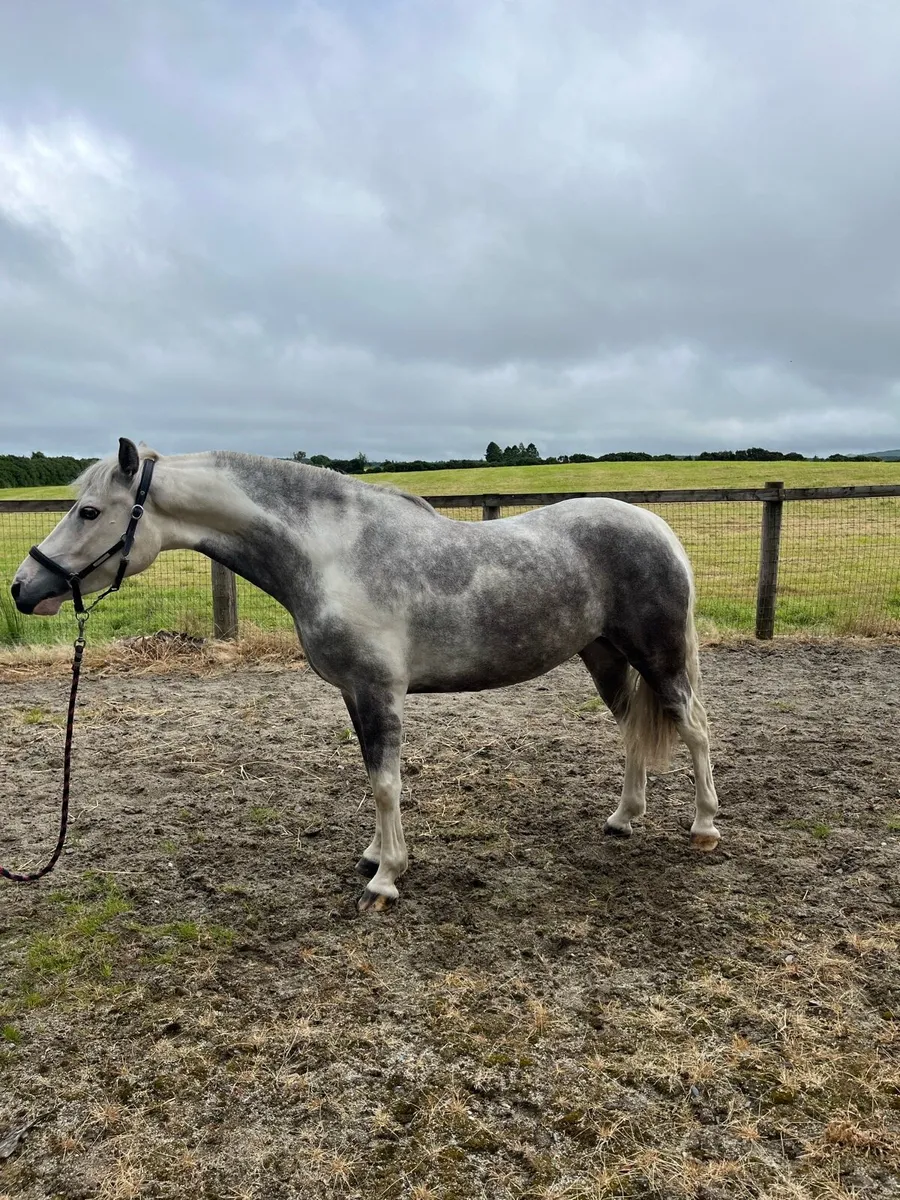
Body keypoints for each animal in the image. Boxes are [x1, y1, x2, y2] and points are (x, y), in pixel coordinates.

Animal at [12, 438, 720, 911]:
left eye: (89, 512)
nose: (23, 588)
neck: (334, 555)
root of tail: (658, 527)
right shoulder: (355, 694)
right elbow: (374, 779)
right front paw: (377, 857)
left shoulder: (380, 692)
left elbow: (385, 783)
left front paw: (386, 880)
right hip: (604, 656)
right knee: (633, 731)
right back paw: (624, 818)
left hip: (658, 657)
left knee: (693, 730)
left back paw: (705, 829)